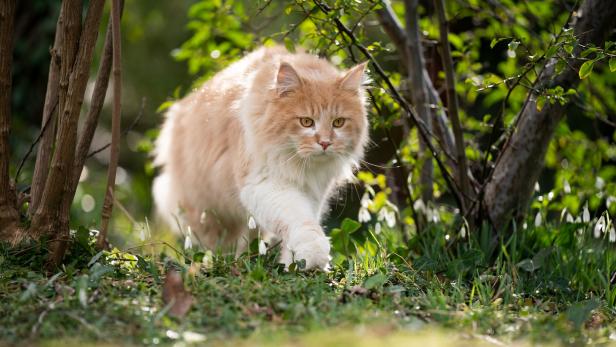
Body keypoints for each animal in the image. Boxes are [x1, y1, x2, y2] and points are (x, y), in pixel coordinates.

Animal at [152, 44, 368, 270]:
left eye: (338, 123)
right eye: (307, 122)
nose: (325, 143)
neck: (302, 167)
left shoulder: (314, 192)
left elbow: (299, 226)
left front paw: (293, 265)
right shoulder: (264, 184)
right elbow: (300, 221)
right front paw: (312, 254)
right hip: (205, 212)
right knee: (210, 243)